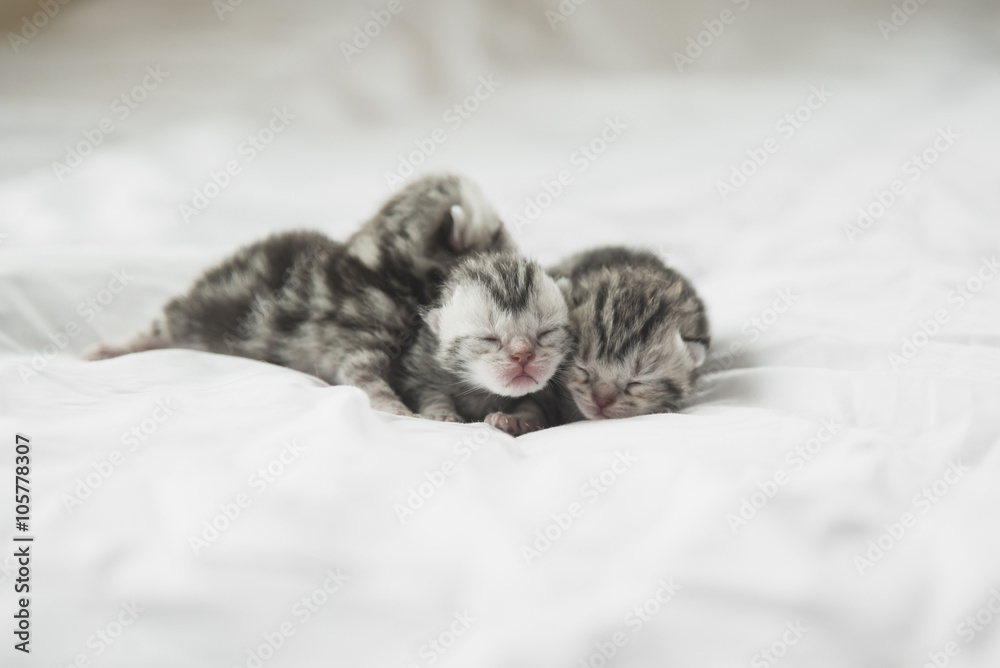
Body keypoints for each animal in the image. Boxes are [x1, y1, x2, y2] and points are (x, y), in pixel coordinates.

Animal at [84, 172, 516, 418]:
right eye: (499, 236)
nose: (518, 251)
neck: (380, 267)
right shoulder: (357, 335)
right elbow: (365, 378)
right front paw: (397, 410)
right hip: (190, 313)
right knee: (161, 324)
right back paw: (108, 349)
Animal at [396, 250, 572, 434]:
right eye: (488, 338)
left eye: (546, 332)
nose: (522, 355)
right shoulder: (421, 362)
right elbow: (428, 391)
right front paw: (440, 412)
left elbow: (534, 405)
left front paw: (517, 419)